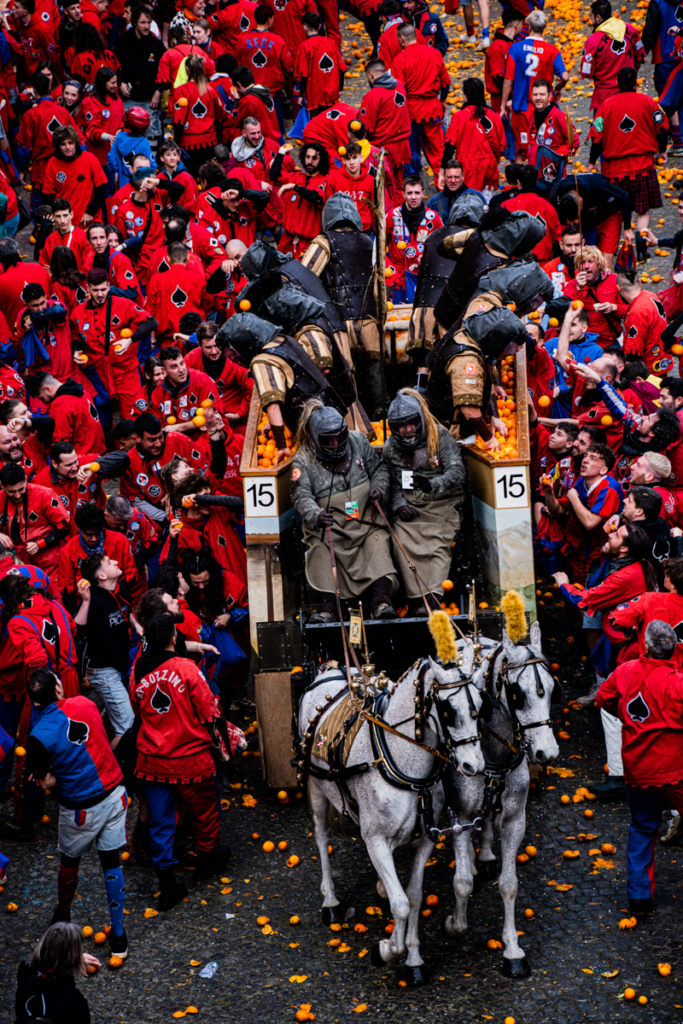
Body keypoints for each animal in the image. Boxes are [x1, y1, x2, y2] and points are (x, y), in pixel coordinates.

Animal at [299, 638, 485, 983]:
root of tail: (329, 671)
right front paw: (386, 950)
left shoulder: (424, 841)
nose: (474, 766)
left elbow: (413, 898)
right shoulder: (376, 840)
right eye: (448, 711)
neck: (403, 764)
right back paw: (330, 900)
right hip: (317, 790)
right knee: (321, 837)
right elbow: (400, 905)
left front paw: (412, 958)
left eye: (480, 704)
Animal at [444, 618, 561, 978]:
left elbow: (509, 884)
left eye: (552, 689)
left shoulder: (514, 818)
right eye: (518, 694)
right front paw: (455, 924)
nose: (547, 753)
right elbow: (462, 882)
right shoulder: (459, 816)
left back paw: (483, 853)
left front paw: (512, 950)